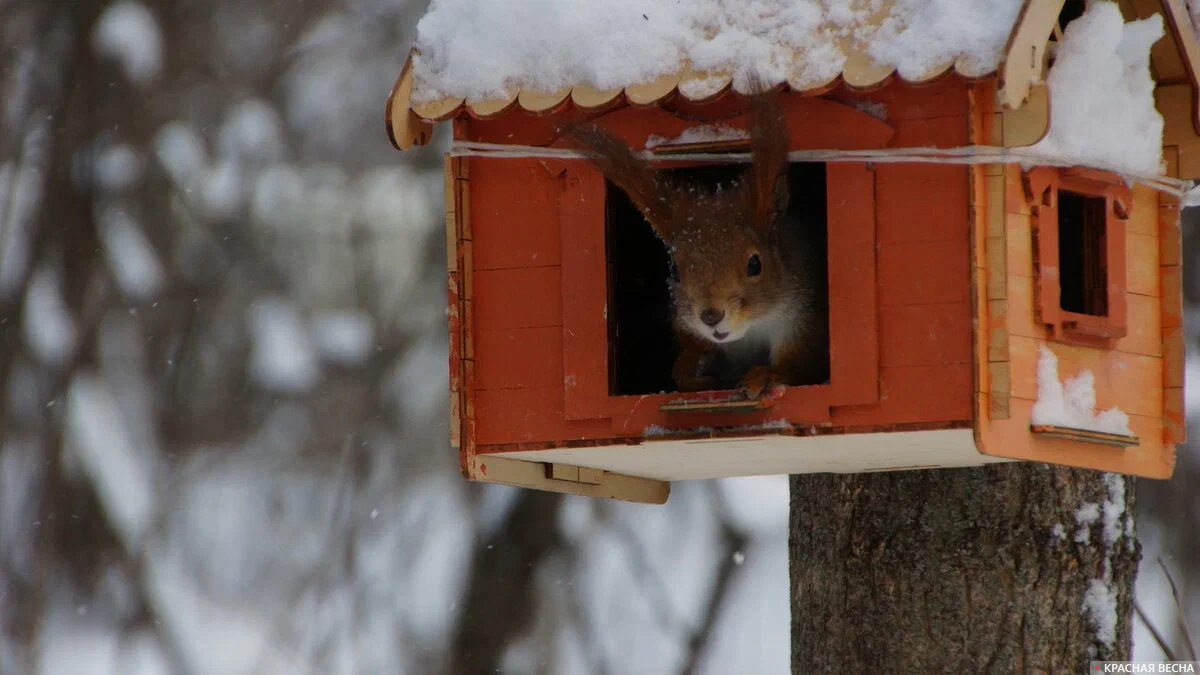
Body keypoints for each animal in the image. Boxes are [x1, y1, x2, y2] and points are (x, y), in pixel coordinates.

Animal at [566, 86, 830, 396]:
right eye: (675, 271)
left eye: (755, 264)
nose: (711, 317)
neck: (751, 329)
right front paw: (692, 366)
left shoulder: (803, 314)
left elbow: (800, 360)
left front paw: (768, 375)